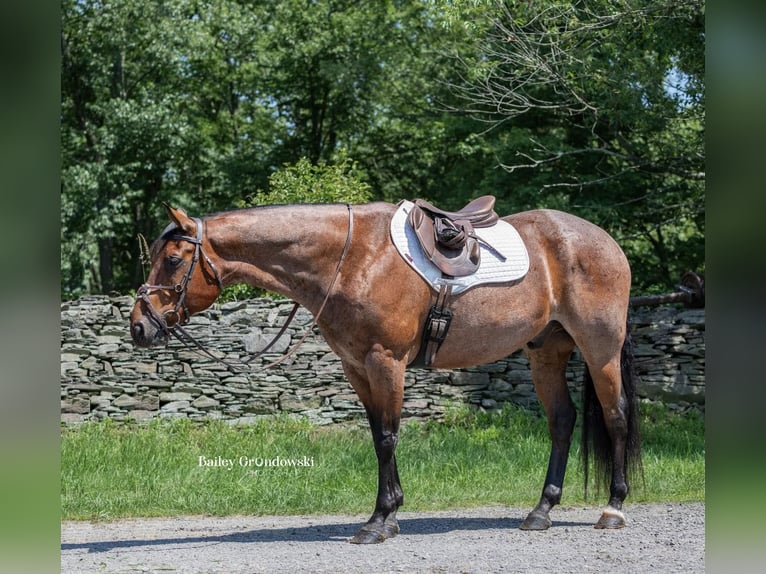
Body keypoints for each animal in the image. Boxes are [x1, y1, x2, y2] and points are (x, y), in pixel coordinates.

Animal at [130, 201, 640, 544]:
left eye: (172, 260)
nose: (139, 326)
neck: (352, 258)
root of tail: (604, 241)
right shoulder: (357, 368)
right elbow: (378, 437)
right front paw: (386, 514)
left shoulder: (386, 362)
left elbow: (390, 437)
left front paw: (380, 521)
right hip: (546, 352)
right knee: (562, 422)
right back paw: (541, 510)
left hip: (600, 349)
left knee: (616, 417)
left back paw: (613, 509)